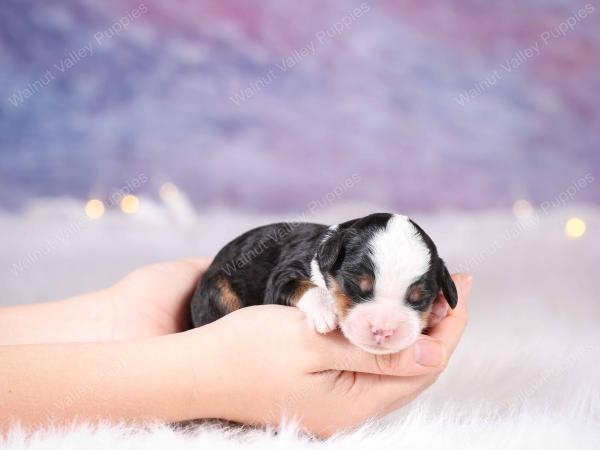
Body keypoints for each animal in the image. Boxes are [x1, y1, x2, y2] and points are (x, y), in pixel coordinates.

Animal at [190, 213, 458, 354]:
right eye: (356, 287)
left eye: (419, 300)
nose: (383, 330)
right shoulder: (283, 276)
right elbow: (305, 287)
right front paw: (326, 311)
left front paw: (438, 310)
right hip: (218, 290)